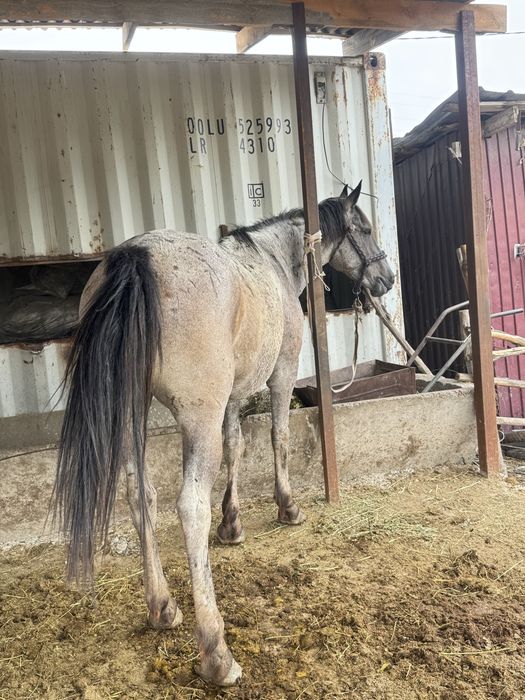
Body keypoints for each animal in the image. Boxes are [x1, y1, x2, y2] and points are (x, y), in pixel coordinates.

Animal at [52, 181, 395, 687]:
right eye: (365, 229)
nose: (386, 278)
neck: (271, 262)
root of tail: (136, 257)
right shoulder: (280, 374)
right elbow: (277, 437)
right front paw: (287, 507)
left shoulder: (232, 396)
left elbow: (237, 447)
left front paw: (232, 523)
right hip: (197, 418)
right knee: (189, 507)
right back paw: (217, 653)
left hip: (134, 412)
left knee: (140, 494)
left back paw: (162, 607)